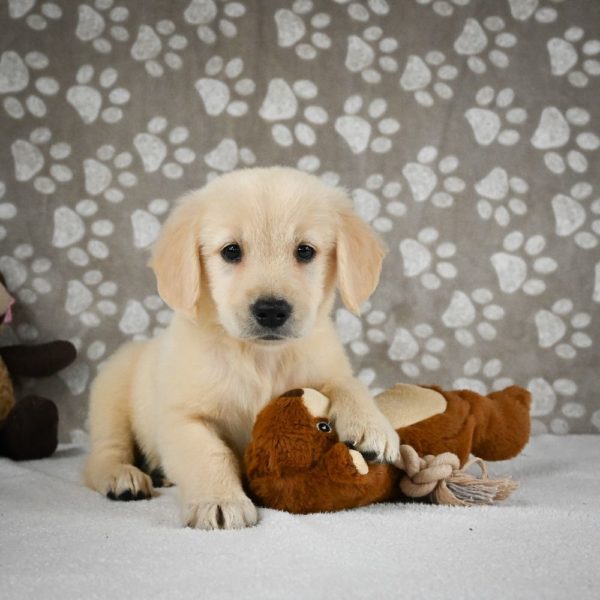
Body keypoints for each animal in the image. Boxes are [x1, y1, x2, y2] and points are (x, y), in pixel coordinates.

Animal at [84, 166, 400, 528]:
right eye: (231, 251)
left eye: (305, 251)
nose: (271, 310)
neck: (261, 356)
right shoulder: (182, 417)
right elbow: (210, 454)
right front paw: (220, 501)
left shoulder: (326, 365)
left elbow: (348, 383)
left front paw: (372, 425)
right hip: (111, 395)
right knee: (103, 453)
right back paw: (123, 476)